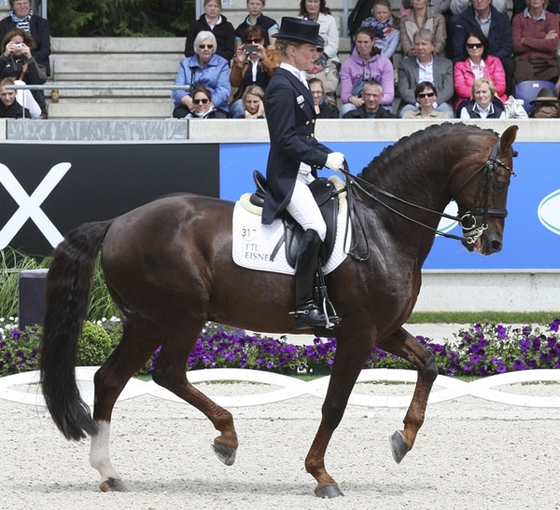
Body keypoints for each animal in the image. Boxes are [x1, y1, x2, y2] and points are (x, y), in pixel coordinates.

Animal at [41, 123, 520, 498]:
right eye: (498, 176)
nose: (493, 242)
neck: (383, 224)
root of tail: (117, 222)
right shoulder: (359, 333)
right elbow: (334, 404)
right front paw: (321, 475)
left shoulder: (384, 329)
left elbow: (430, 365)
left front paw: (403, 439)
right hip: (182, 317)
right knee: (167, 374)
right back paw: (227, 438)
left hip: (145, 324)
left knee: (110, 379)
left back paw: (109, 472)